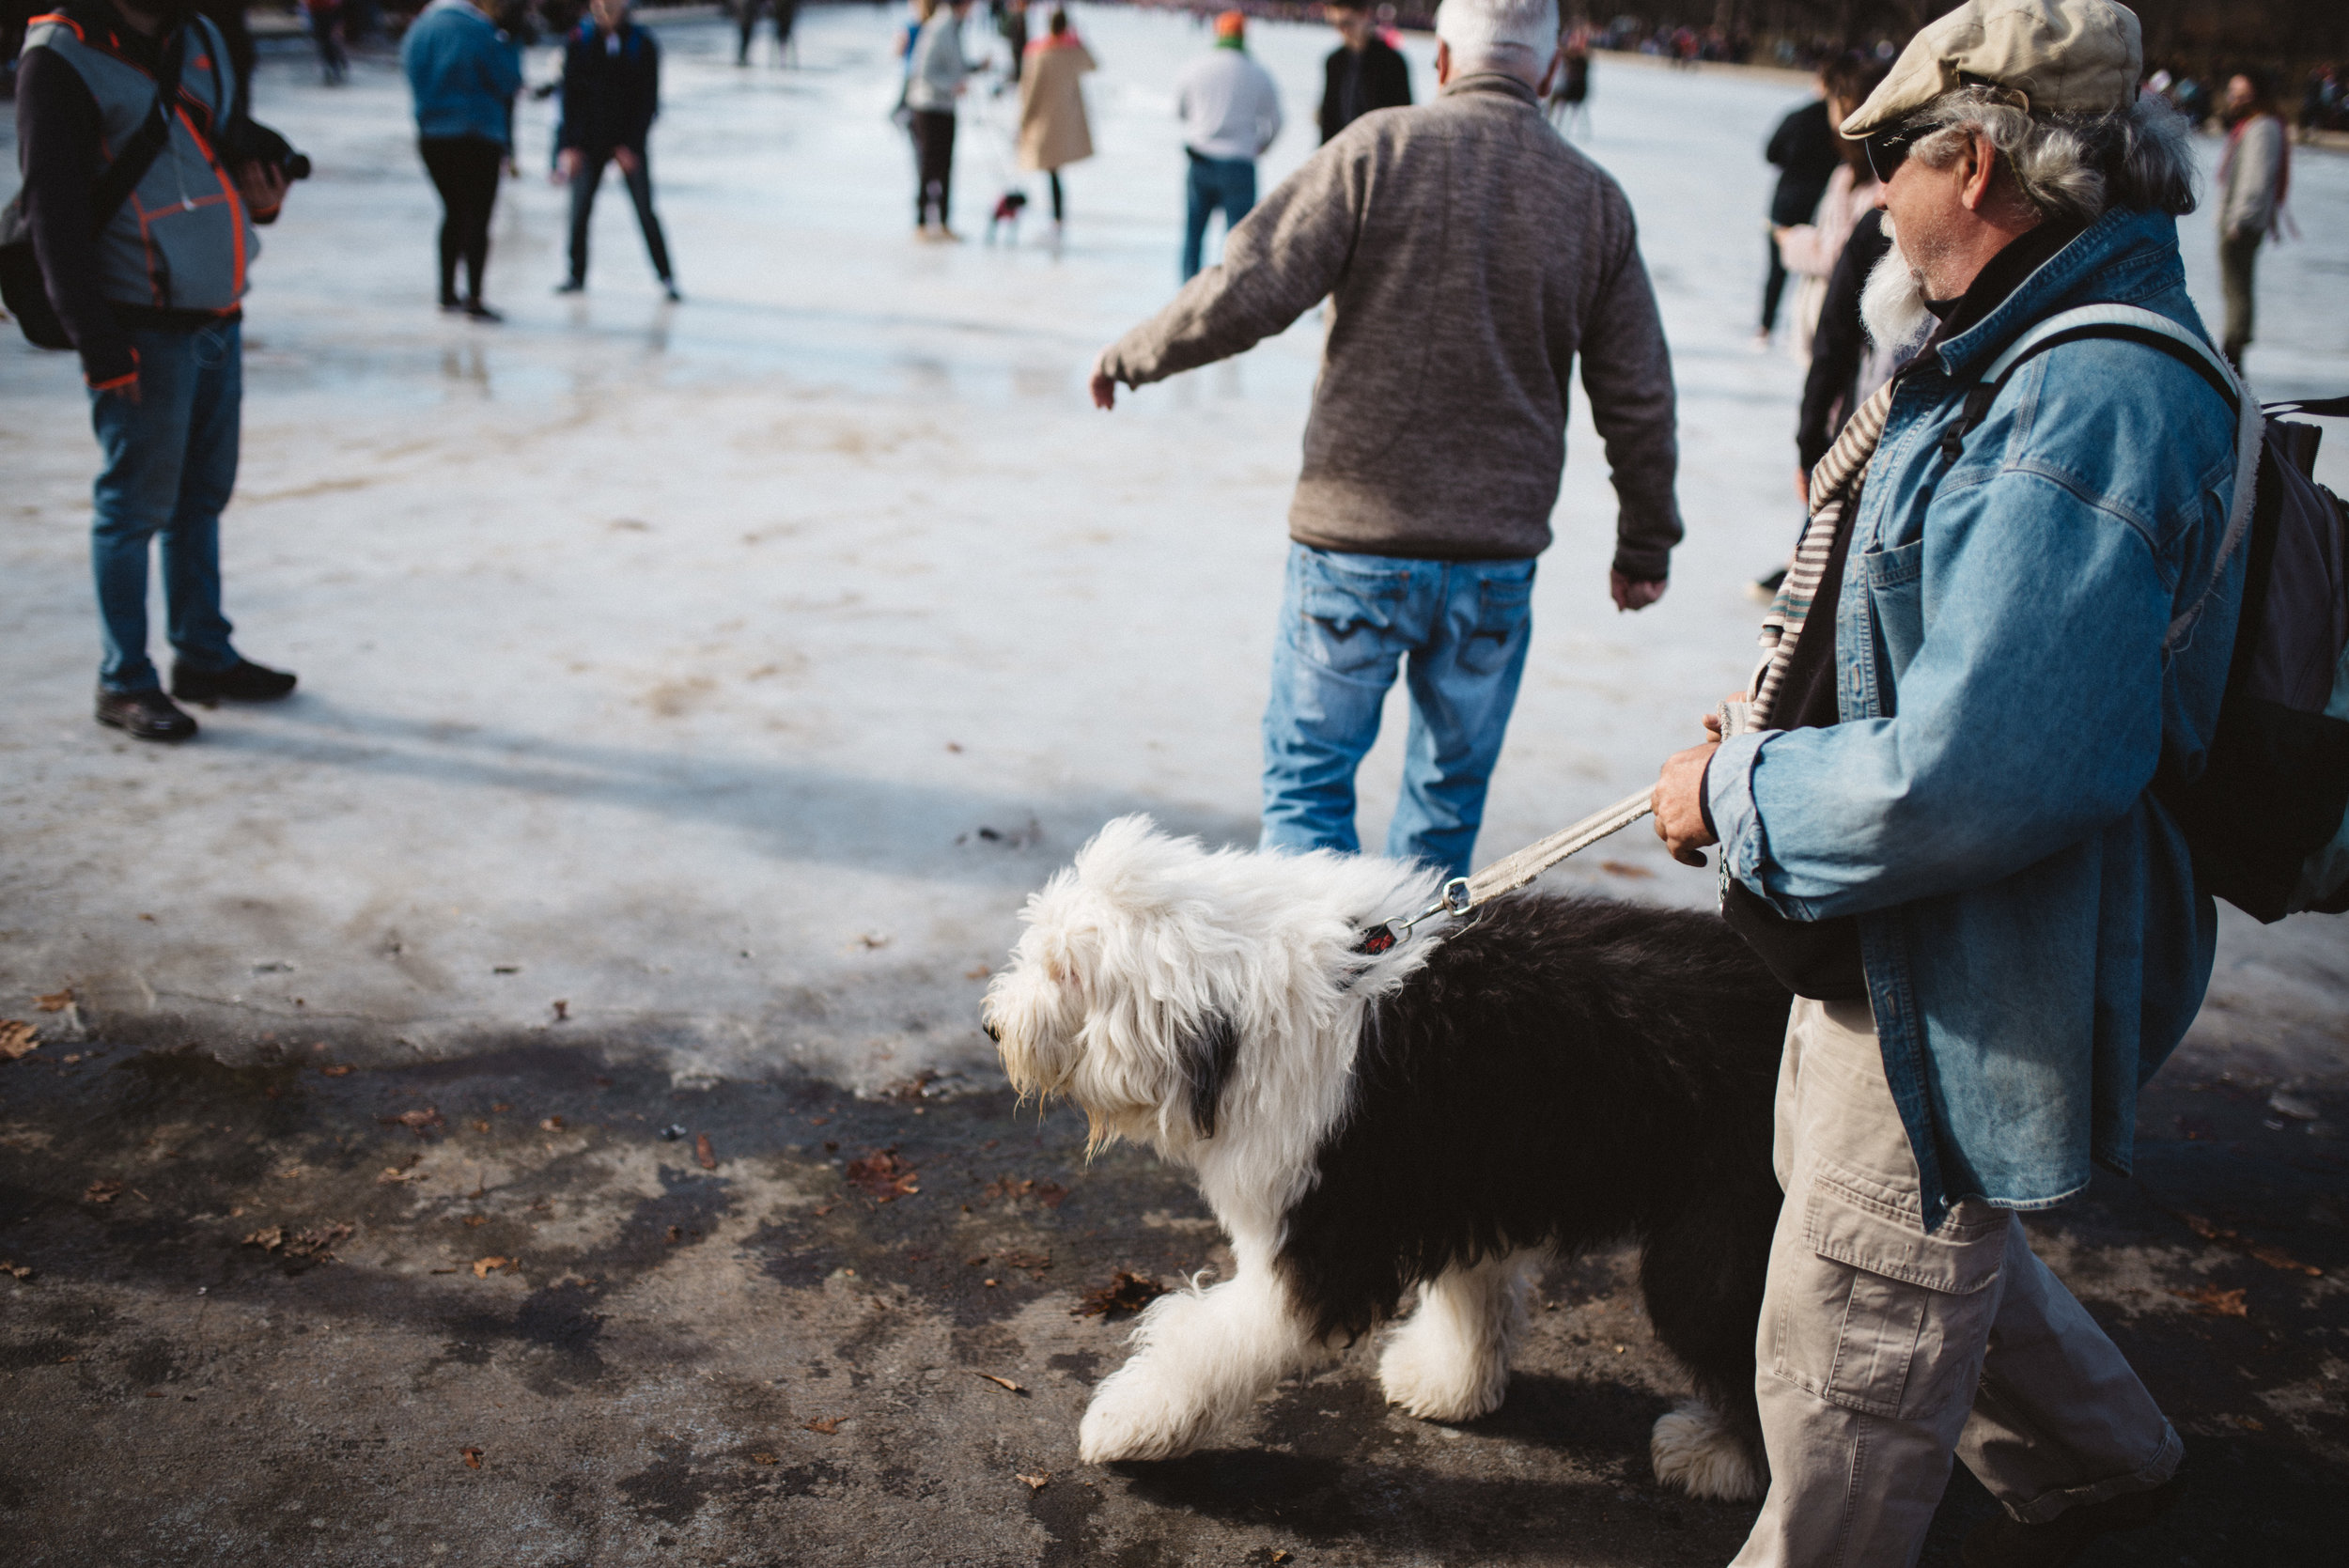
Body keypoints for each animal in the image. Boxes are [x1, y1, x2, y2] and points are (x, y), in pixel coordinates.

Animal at [982, 816, 1785, 1502]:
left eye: (1065, 969)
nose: (991, 1025)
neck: (1247, 1013)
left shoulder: (1323, 1236)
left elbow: (1215, 1339)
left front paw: (1128, 1421)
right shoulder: (1457, 1175)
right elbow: (1472, 1295)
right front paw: (1450, 1381)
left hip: (1721, 1236)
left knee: (1745, 1344)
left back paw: (1720, 1454)